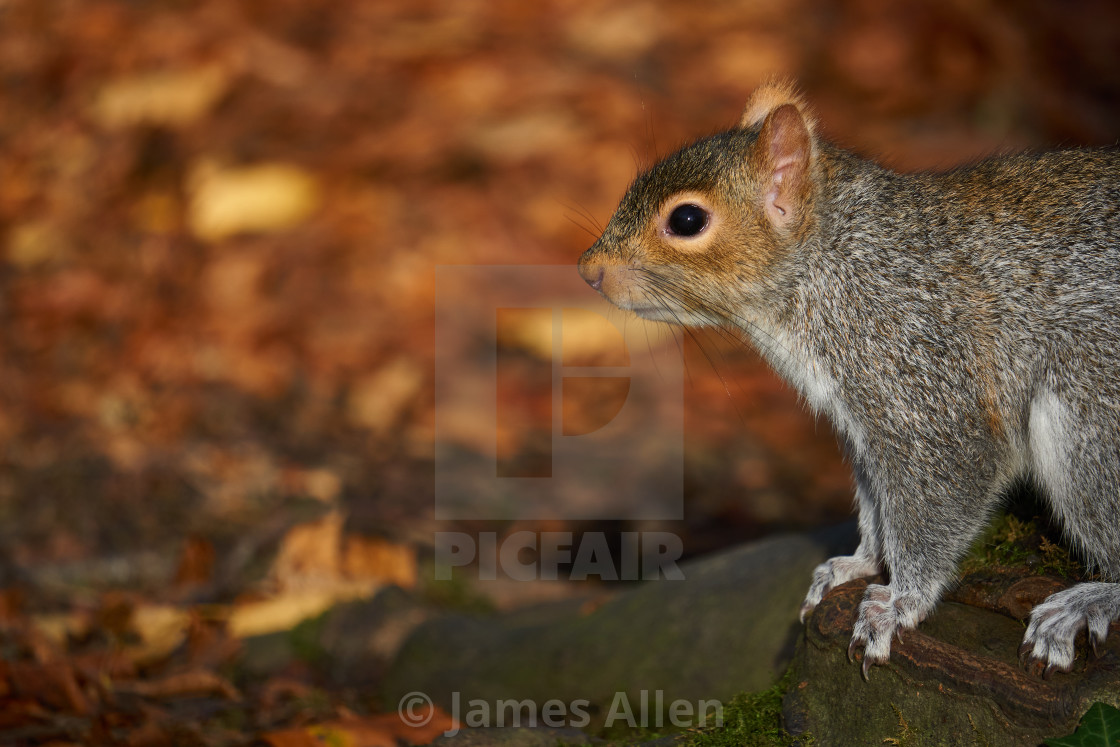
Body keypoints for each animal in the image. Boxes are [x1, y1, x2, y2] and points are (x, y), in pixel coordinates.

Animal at [577, 80, 1120, 676]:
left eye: (688, 221)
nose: (588, 270)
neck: (834, 259)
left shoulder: (921, 373)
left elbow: (937, 496)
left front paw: (900, 602)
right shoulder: (860, 423)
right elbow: (876, 504)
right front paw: (859, 563)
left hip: (1090, 411)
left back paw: (1085, 602)